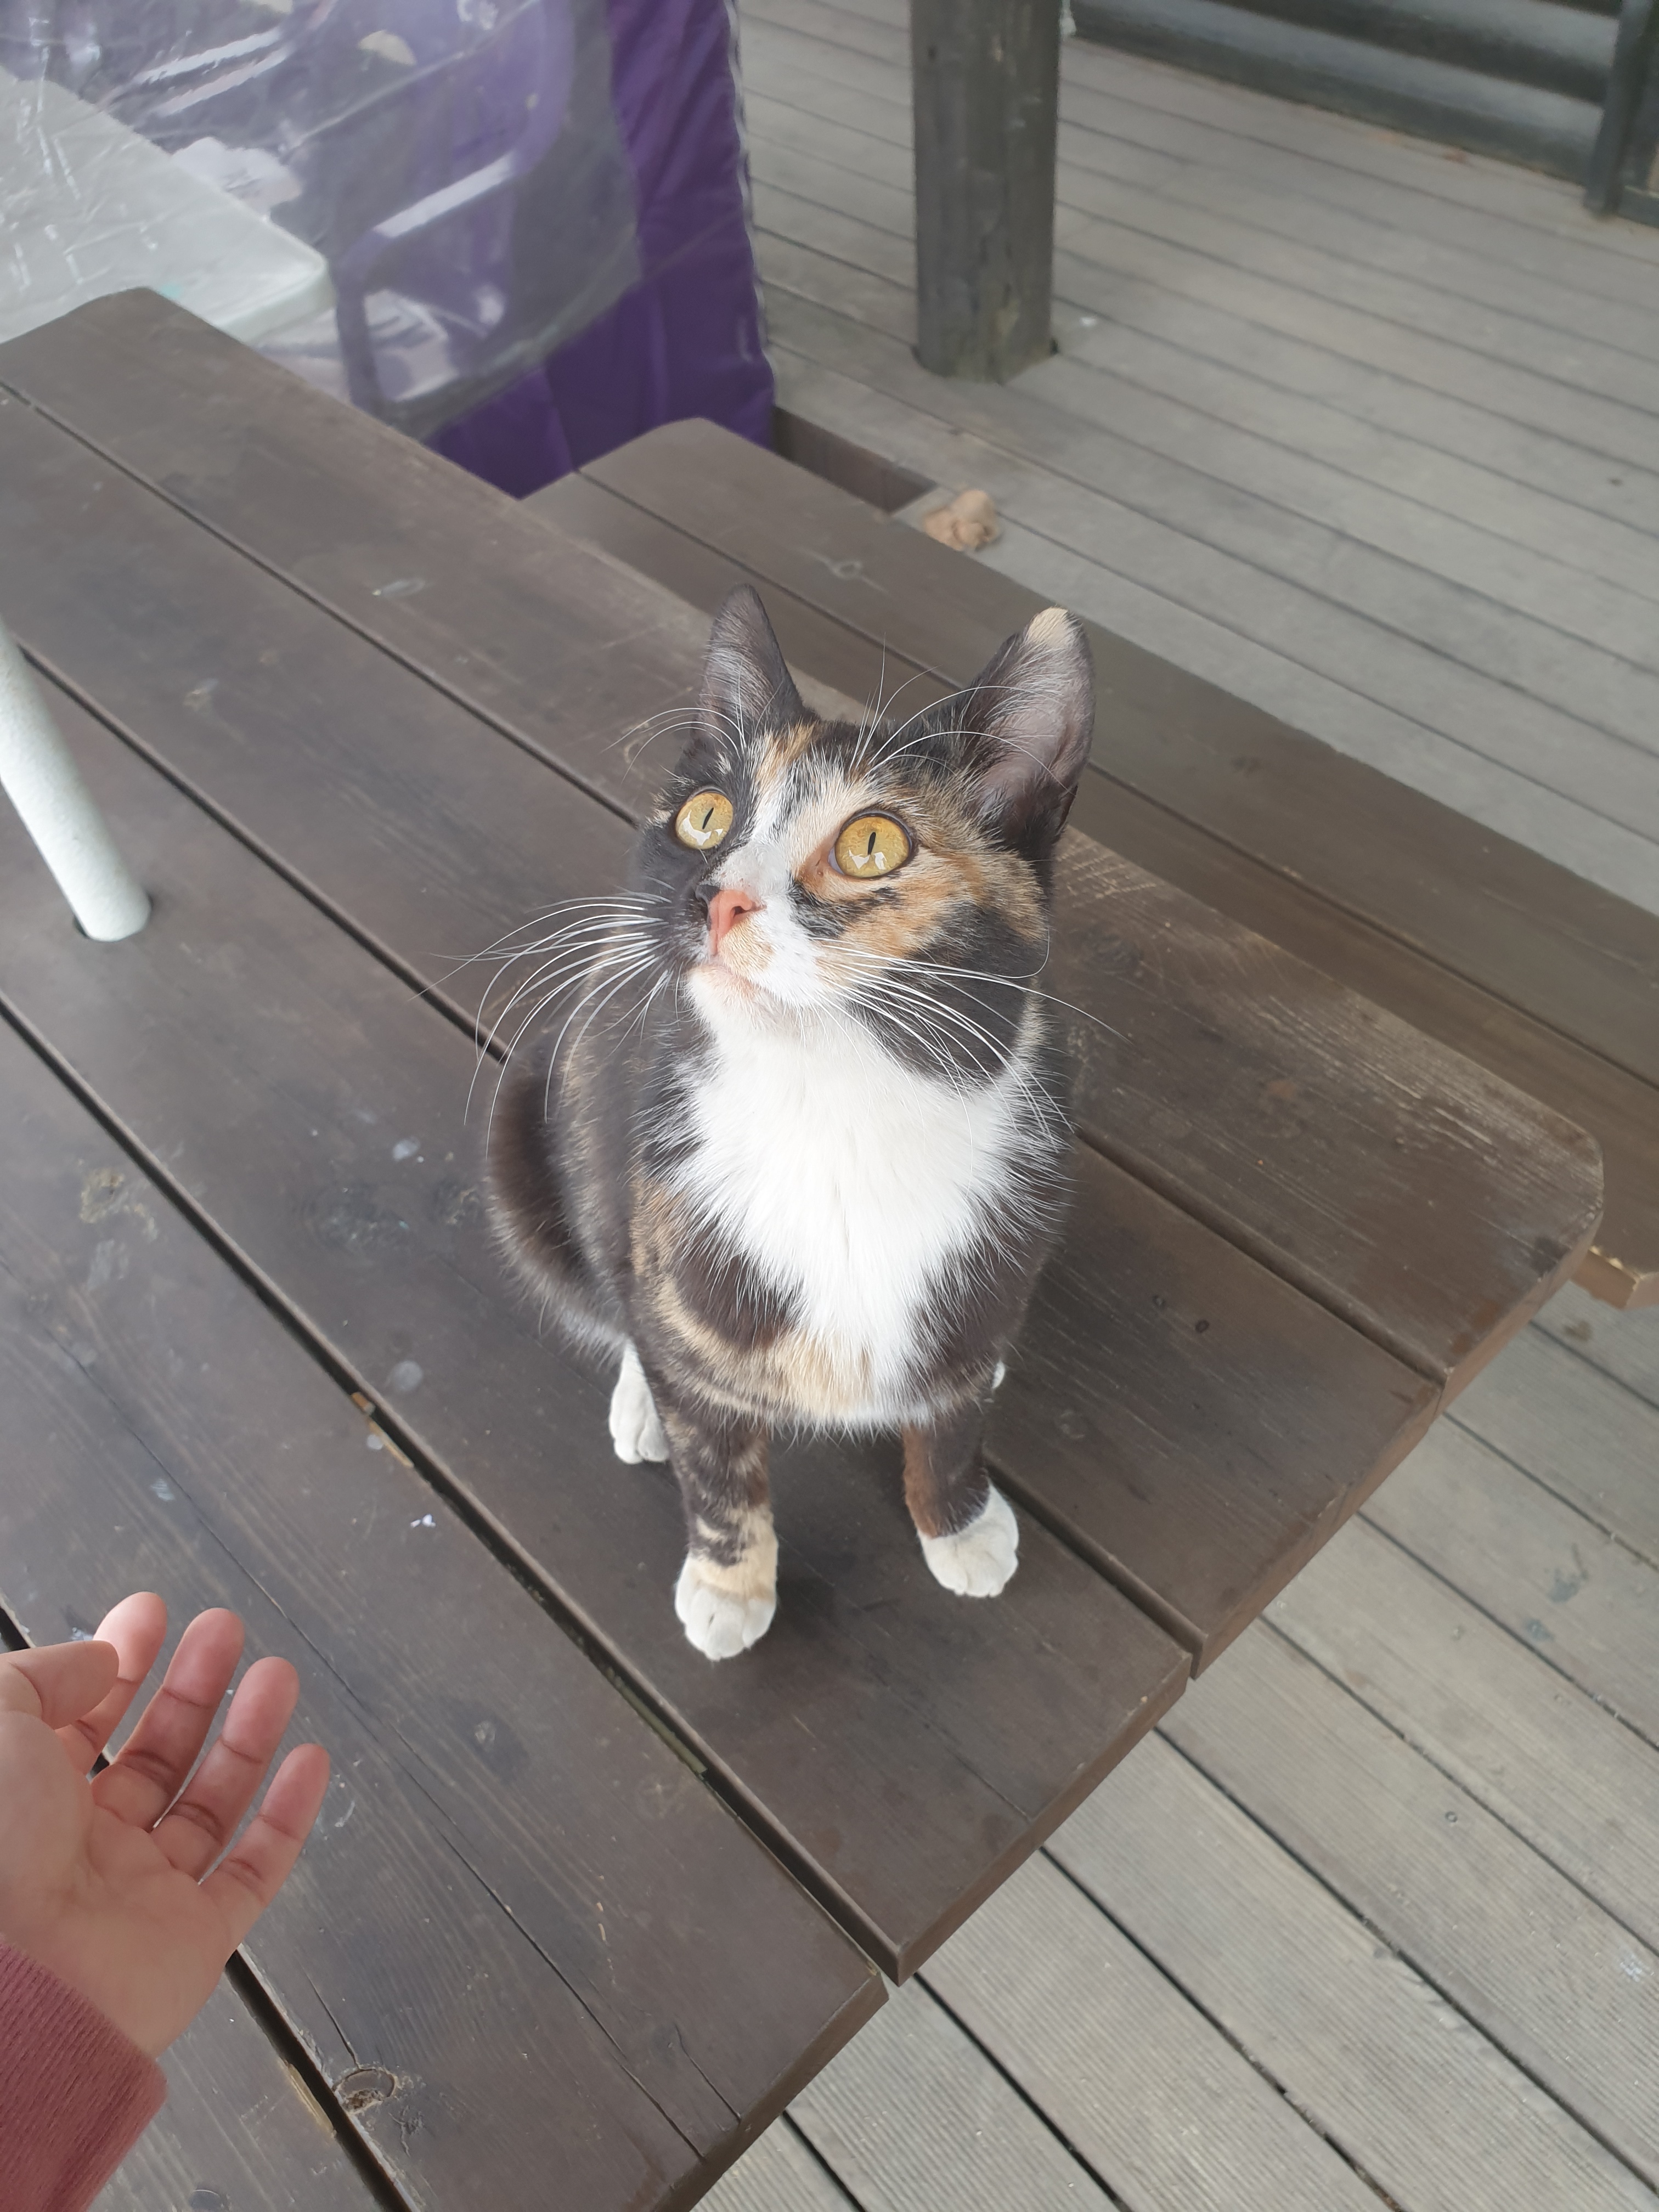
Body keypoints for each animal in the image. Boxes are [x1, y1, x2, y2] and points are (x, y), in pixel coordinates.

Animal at [485, 585, 1093, 1660]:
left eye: (872, 842)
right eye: (704, 815)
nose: (710, 894)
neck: (833, 1115)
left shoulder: (996, 1256)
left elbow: (950, 1418)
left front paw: (959, 1522)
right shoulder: (668, 1236)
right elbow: (715, 1463)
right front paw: (729, 1587)